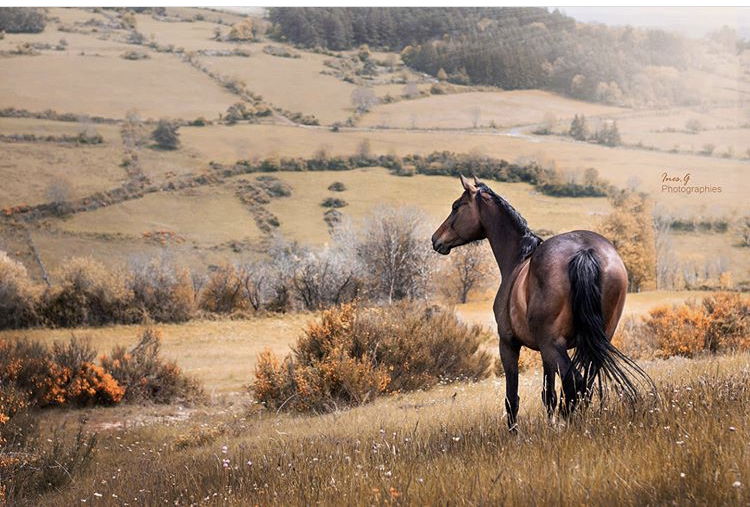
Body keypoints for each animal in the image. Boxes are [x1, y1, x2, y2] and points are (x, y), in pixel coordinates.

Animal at [432, 177, 656, 430]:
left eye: (456, 207)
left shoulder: (509, 344)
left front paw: (515, 433)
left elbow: (512, 398)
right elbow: (549, 395)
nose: (435, 239)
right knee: (585, 385)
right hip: (591, 342)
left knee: (573, 383)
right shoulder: (544, 352)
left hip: (552, 345)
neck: (518, 259)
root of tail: (584, 251)